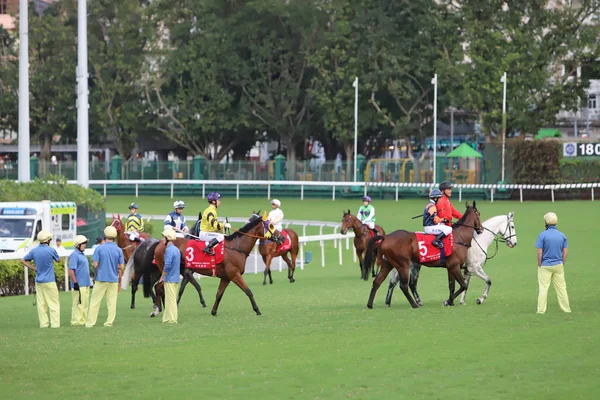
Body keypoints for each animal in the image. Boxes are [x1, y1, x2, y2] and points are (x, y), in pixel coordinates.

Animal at [149, 211, 282, 318]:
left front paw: (213, 311)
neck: (236, 247)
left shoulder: (226, 277)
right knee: (159, 287)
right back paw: (157, 311)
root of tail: (162, 242)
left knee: (160, 287)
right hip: (167, 269)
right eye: (271, 225)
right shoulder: (235, 275)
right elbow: (248, 291)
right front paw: (257, 310)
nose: (282, 237)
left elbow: (219, 294)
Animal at [386, 212, 516, 306]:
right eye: (512, 226)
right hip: (411, 266)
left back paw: (390, 302)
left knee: (396, 282)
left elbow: (464, 285)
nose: (514, 243)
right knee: (407, 283)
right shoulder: (474, 268)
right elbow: (487, 281)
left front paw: (461, 301)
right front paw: (480, 299)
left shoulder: (466, 269)